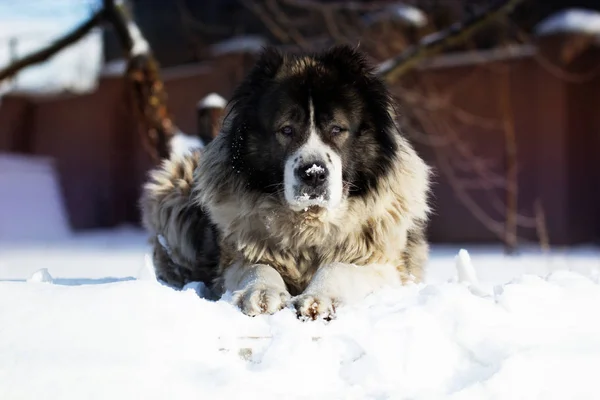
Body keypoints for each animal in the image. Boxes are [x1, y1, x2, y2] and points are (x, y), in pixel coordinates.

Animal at [141, 44, 432, 318]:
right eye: (286, 130)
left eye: (337, 129)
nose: (313, 173)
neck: (309, 224)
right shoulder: (234, 258)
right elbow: (257, 266)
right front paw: (260, 293)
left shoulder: (387, 266)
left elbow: (338, 267)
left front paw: (318, 298)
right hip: (174, 190)